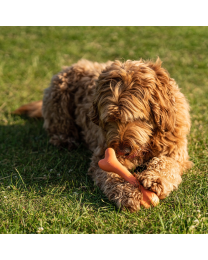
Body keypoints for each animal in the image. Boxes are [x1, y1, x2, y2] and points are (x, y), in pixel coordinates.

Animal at [13, 58, 193, 211]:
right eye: (110, 119)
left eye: (136, 118)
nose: (123, 151)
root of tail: (74, 65)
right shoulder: (103, 155)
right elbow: (113, 174)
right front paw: (128, 193)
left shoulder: (176, 150)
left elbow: (168, 163)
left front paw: (155, 179)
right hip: (57, 96)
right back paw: (65, 140)